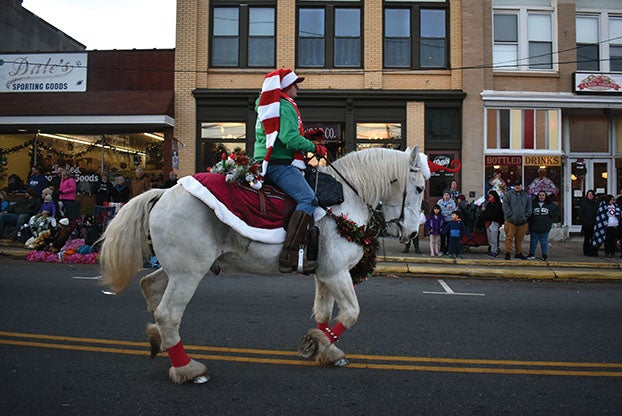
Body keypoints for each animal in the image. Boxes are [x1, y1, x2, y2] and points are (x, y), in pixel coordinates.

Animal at [100, 145, 432, 384]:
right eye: (418, 189)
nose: (412, 233)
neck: (347, 200)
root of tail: (164, 192)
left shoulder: (324, 274)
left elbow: (324, 313)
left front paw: (325, 348)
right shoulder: (337, 272)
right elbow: (351, 313)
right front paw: (315, 343)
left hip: (178, 268)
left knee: (150, 288)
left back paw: (158, 340)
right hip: (188, 272)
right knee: (168, 313)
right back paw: (188, 370)